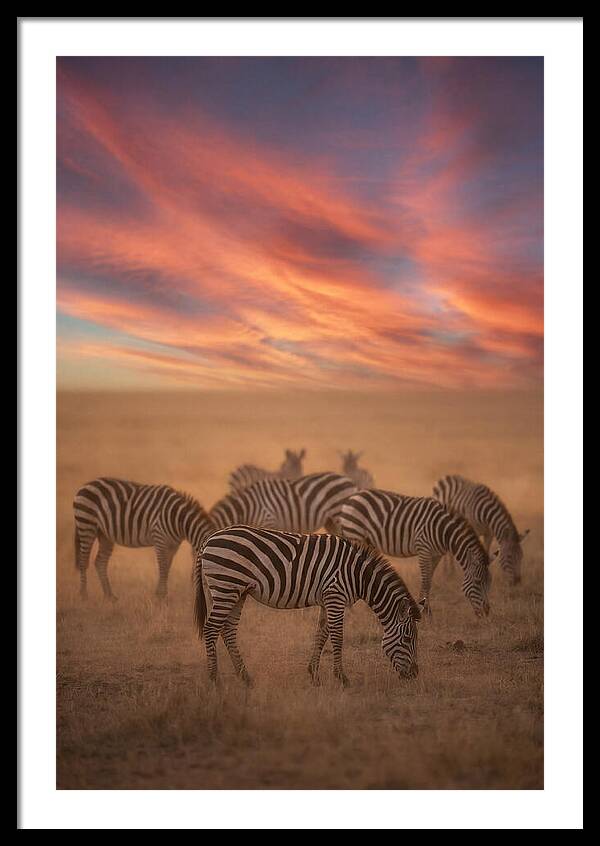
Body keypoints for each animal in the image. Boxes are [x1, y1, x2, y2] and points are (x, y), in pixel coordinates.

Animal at [73, 477, 215, 602]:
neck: (179, 519)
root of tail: (86, 485)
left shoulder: (173, 545)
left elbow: (167, 567)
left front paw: (161, 595)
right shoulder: (159, 538)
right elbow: (163, 566)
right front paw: (161, 597)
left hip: (104, 534)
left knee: (100, 562)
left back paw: (110, 596)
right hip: (86, 524)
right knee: (83, 560)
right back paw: (83, 595)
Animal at [194, 524, 424, 687]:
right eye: (407, 639)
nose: (414, 674)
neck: (358, 576)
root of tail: (209, 539)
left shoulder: (327, 599)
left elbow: (321, 634)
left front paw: (314, 675)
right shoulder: (335, 596)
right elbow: (337, 637)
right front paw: (342, 678)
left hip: (237, 592)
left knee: (228, 630)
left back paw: (246, 677)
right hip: (226, 586)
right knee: (211, 628)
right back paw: (215, 679)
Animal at [331, 488, 491, 618]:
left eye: (489, 584)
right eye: (478, 582)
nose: (486, 612)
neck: (444, 530)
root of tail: (352, 498)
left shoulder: (436, 555)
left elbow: (429, 581)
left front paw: (425, 609)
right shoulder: (424, 549)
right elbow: (425, 581)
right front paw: (426, 613)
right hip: (355, 532)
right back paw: (351, 610)